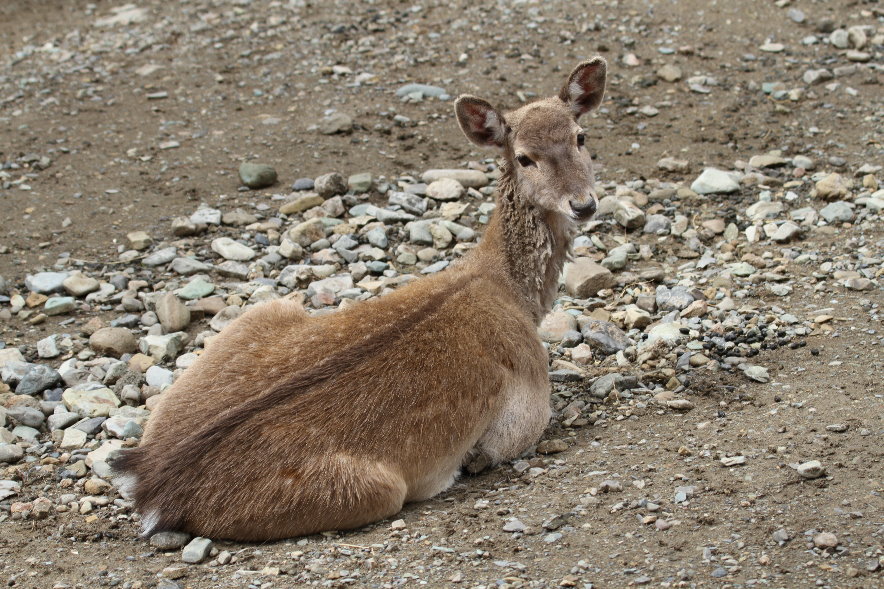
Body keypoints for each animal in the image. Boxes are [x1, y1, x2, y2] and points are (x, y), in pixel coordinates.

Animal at [111, 58, 607, 542]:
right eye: (524, 157)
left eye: (580, 136)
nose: (583, 204)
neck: (512, 295)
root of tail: (151, 485)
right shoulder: (526, 410)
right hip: (375, 489)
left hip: (263, 311)